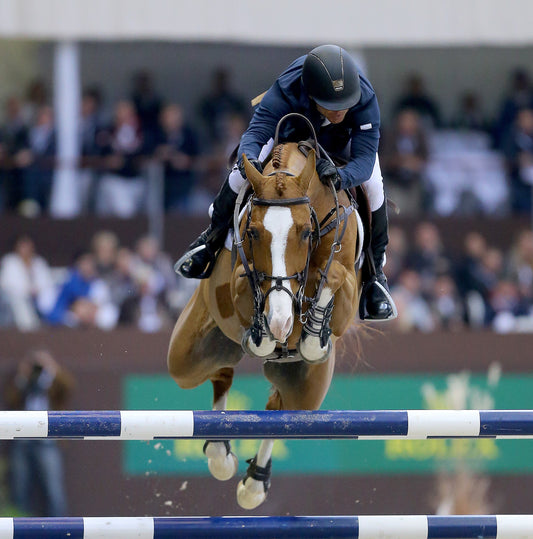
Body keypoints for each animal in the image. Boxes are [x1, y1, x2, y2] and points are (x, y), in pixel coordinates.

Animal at [168, 137, 364, 508]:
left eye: (306, 232)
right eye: (254, 232)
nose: (280, 321)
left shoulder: (346, 294)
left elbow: (331, 274)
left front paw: (309, 335)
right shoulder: (237, 278)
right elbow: (247, 285)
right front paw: (266, 330)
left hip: (306, 395)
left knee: (279, 409)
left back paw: (255, 483)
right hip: (188, 357)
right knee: (220, 372)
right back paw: (221, 453)